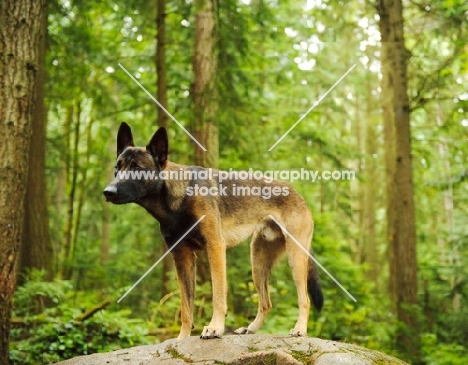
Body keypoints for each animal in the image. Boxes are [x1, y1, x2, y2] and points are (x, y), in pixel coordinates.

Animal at [103, 122, 324, 338]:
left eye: (137, 168)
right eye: (117, 168)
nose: (108, 192)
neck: (177, 198)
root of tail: (297, 194)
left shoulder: (215, 247)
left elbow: (218, 295)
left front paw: (214, 328)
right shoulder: (182, 257)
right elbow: (186, 308)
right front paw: (182, 339)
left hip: (295, 259)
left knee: (304, 299)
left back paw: (299, 329)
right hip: (258, 263)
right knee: (266, 303)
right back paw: (250, 329)